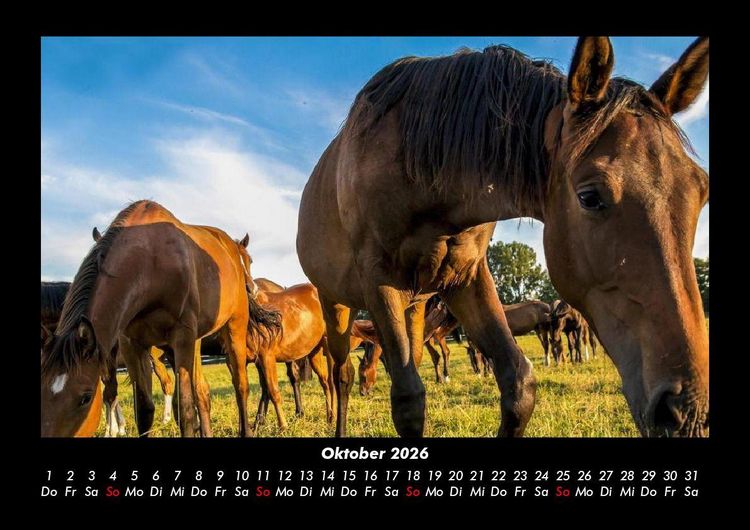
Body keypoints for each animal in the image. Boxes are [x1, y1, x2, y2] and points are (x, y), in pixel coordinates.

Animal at [41, 200, 257, 437]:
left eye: (85, 398)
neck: (151, 263)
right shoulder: (131, 345)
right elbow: (144, 410)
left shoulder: (182, 338)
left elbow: (185, 411)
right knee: (202, 391)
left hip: (234, 328)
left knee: (240, 385)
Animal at [297, 37, 709, 437]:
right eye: (590, 197)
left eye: (701, 190)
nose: (687, 411)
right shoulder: (379, 282)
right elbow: (408, 401)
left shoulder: (466, 278)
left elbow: (519, 384)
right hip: (337, 303)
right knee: (342, 374)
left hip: (414, 306)